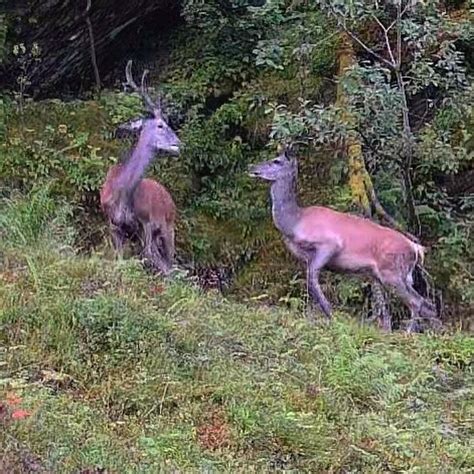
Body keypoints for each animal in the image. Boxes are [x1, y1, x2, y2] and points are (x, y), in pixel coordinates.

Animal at [100, 60, 180, 274]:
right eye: (160, 125)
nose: (178, 143)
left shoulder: (146, 222)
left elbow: (152, 258)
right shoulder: (113, 224)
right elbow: (121, 259)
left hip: (169, 224)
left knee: (169, 259)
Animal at [250, 150, 438, 332]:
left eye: (276, 161)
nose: (253, 168)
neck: (295, 223)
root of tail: (416, 248)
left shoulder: (329, 244)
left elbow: (312, 279)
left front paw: (331, 314)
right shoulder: (307, 257)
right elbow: (310, 284)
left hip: (391, 272)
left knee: (417, 302)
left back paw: (408, 333)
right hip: (399, 275)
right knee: (428, 305)